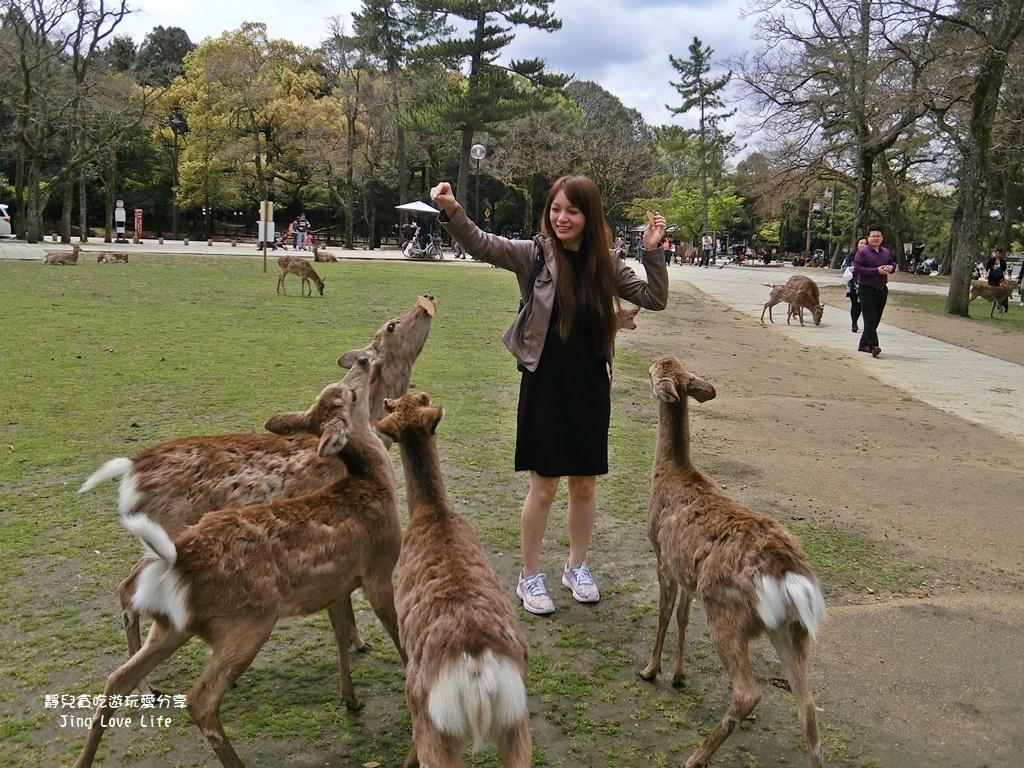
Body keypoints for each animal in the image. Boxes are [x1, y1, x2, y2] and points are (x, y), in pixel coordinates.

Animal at [72, 380, 405, 768]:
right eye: (345, 396)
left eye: (334, 393)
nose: (358, 380)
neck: (373, 485)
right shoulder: (378, 569)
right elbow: (397, 631)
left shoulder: (336, 585)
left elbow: (340, 633)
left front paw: (351, 699)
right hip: (246, 625)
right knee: (200, 700)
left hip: (171, 626)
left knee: (116, 678)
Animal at [75, 296, 436, 700]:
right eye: (391, 324)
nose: (428, 299)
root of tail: (131, 470)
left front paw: (360, 644)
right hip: (168, 528)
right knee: (128, 588)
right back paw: (144, 685)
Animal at [638, 356, 823, 768]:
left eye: (657, 368)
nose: (650, 361)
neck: (670, 474)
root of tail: (790, 576)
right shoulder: (687, 572)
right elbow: (682, 616)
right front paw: (678, 675)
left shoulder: (662, 556)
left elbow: (664, 612)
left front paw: (651, 670)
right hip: (792, 628)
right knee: (808, 708)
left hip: (728, 612)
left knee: (748, 693)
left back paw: (695, 758)